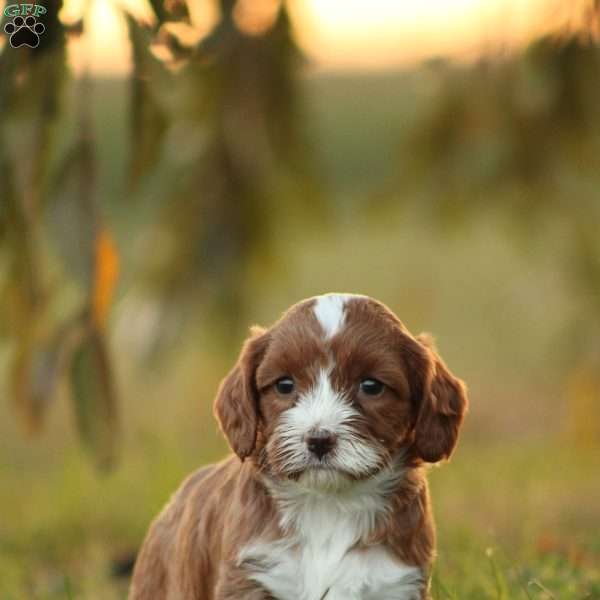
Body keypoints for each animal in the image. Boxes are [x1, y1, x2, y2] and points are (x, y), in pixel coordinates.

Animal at [129, 292, 468, 596]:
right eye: (284, 384)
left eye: (371, 386)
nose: (319, 440)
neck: (328, 507)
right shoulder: (249, 576)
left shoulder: (395, 582)